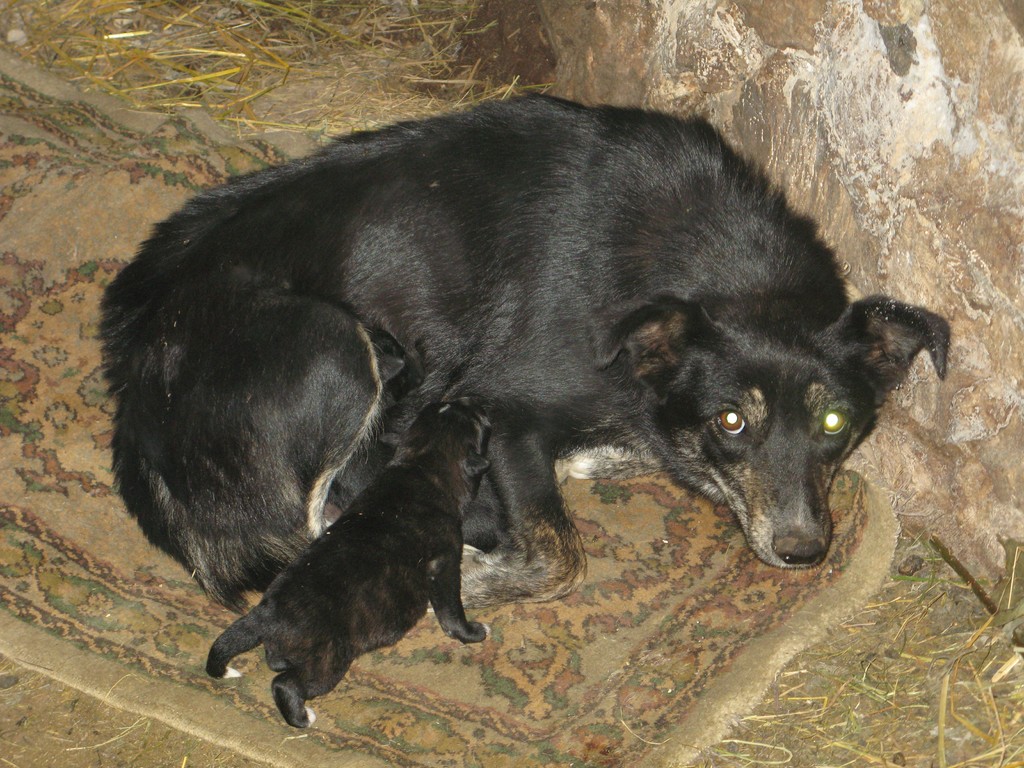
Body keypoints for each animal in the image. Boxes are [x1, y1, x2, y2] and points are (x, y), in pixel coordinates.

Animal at [99, 96, 946, 610]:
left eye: (836, 423)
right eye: (732, 421)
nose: (803, 551)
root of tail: (135, 389)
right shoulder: (500, 413)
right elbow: (558, 557)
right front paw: (472, 571)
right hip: (334, 349)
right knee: (312, 535)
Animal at [204, 399, 491, 729]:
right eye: (477, 420)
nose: (473, 402)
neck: (421, 467)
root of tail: (265, 614)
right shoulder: (444, 565)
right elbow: (452, 610)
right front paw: (473, 632)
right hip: (327, 662)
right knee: (285, 684)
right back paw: (302, 717)